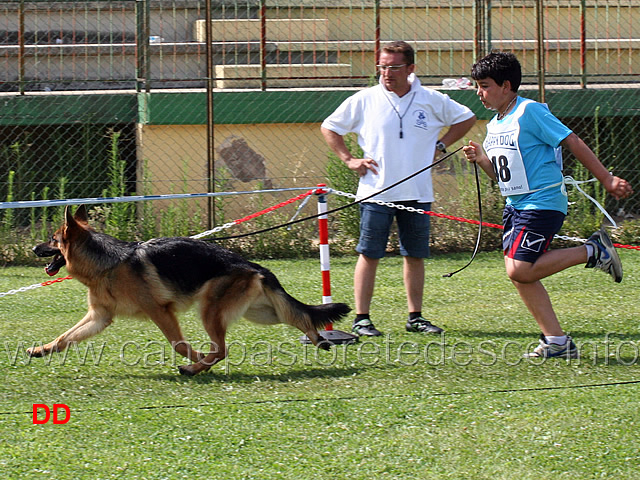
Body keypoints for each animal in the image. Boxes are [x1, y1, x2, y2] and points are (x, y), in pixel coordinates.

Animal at [30, 205, 350, 376]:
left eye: (52, 240)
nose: (33, 248)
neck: (108, 263)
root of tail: (250, 264)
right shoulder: (99, 317)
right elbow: (65, 338)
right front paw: (41, 349)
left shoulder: (160, 311)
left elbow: (179, 345)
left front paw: (196, 359)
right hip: (260, 313)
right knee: (298, 317)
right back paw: (319, 339)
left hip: (210, 311)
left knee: (221, 349)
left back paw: (197, 368)